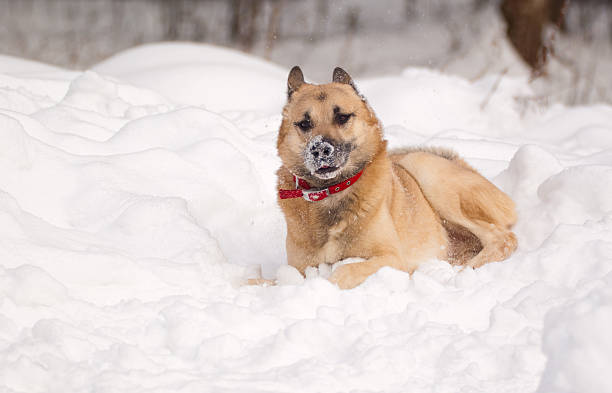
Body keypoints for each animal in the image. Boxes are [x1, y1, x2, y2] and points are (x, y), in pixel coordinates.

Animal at [276, 66, 516, 288]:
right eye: (304, 123)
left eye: (342, 117)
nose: (320, 149)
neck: (330, 193)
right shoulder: (299, 267)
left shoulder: (391, 260)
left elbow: (345, 271)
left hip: (424, 168)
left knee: (504, 239)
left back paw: (458, 274)